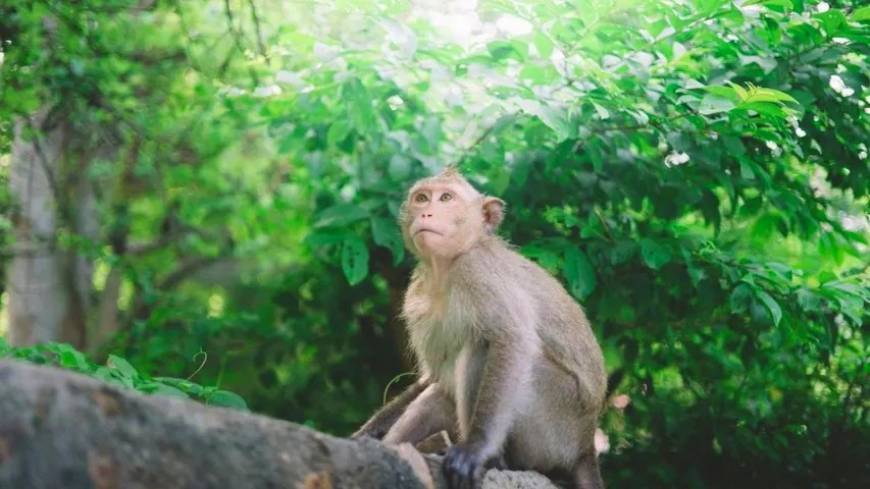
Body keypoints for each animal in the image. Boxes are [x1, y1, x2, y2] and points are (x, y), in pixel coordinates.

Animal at [354, 168, 608, 488]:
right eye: (422, 198)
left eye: (446, 198)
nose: (426, 212)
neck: (447, 269)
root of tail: (586, 445)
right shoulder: (417, 297)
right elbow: (432, 376)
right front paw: (365, 434)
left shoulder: (478, 271)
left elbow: (512, 339)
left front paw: (475, 448)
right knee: (439, 394)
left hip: (556, 423)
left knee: (482, 348)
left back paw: (493, 459)